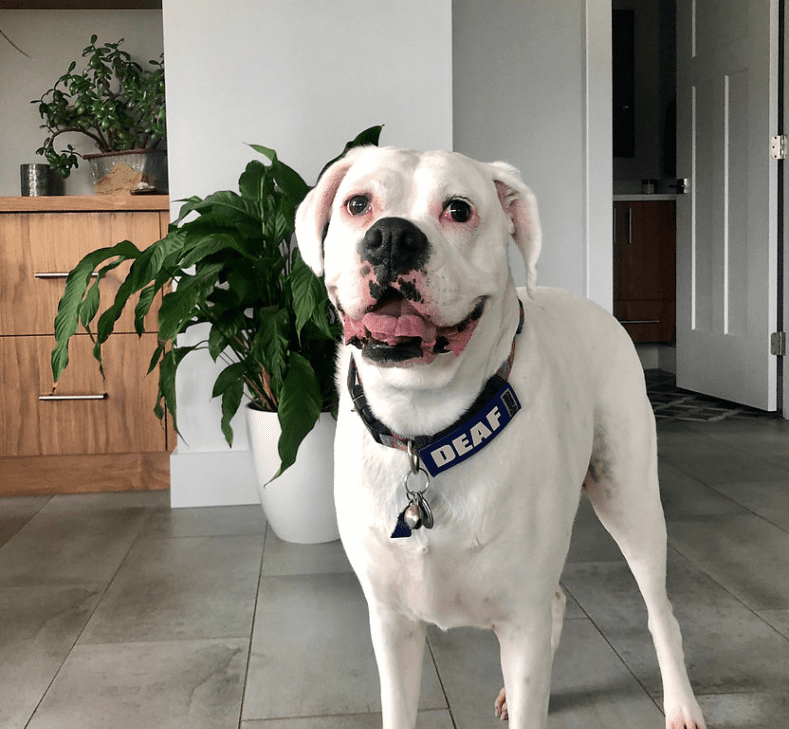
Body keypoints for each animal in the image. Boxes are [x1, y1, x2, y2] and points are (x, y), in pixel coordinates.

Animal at [296, 146, 708, 728]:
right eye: (357, 204)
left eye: (459, 209)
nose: (393, 236)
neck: (428, 433)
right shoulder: (393, 623)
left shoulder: (521, 624)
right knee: (560, 601)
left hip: (630, 501)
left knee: (659, 612)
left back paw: (681, 704)